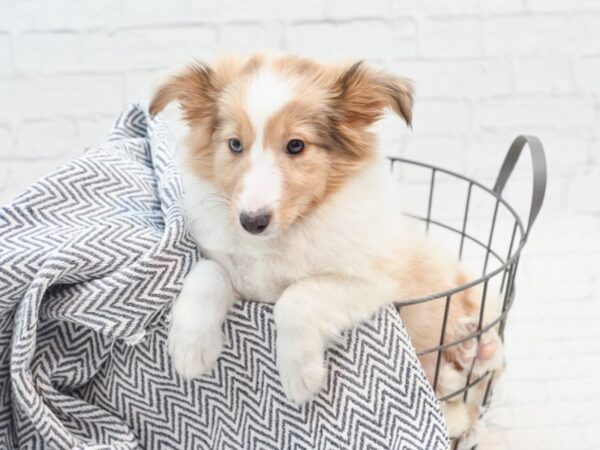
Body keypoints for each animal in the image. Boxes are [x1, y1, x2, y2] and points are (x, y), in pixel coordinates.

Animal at [150, 51, 502, 440]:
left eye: (296, 145)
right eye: (235, 144)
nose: (251, 222)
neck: (284, 236)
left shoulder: (374, 281)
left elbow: (297, 297)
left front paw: (300, 377)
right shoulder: (236, 275)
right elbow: (207, 272)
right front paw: (189, 349)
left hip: (468, 299)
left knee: (478, 385)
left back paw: (478, 348)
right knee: (452, 393)